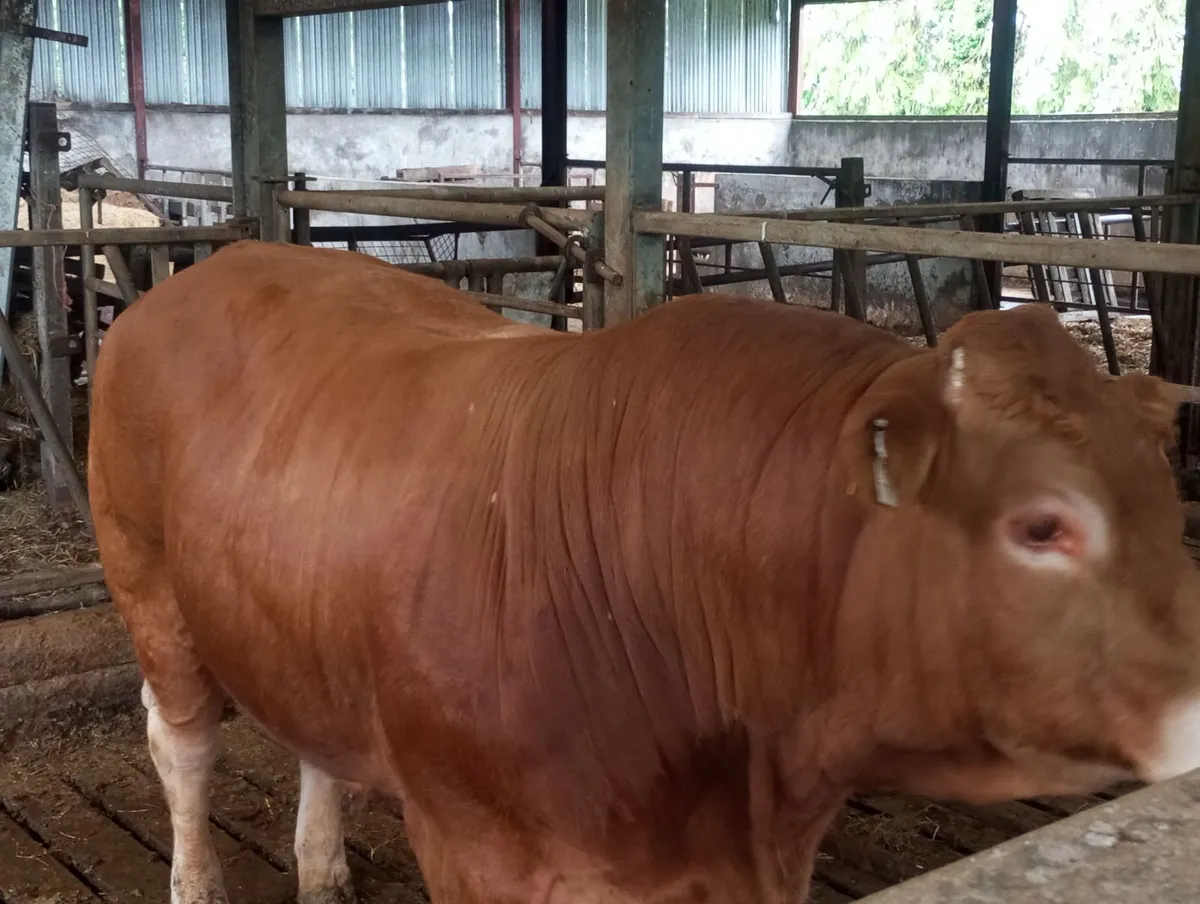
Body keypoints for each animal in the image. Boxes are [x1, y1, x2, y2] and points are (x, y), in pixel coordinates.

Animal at [88, 239, 1200, 904]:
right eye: (1043, 526)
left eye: (1163, 498)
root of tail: (214, 264)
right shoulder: (473, 848)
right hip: (145, 570)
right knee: (182, 741)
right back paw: (196, 880)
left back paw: (320, 867)